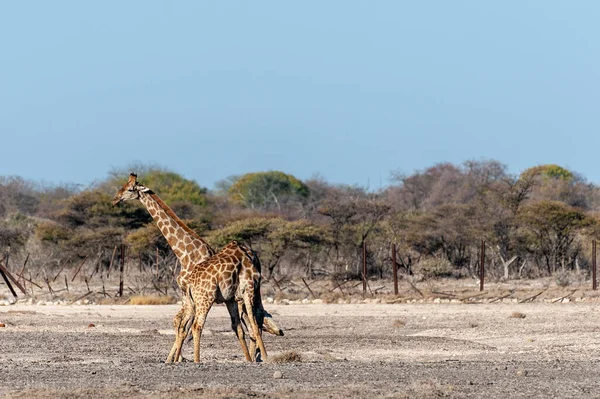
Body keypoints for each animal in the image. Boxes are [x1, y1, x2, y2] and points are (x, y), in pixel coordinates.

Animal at [113, 173, 284, 360]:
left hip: (241, 295)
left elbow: (184, 326)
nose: (115, 199)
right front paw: (173, 359)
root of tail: (255, 257)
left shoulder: (192, 296)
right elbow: (179, 323)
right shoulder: (187, 296)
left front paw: (177, 359)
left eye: (130, 189)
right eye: (123, 185)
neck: (185, 254)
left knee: (253, 322)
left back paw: (259, 355)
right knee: (252, 321)